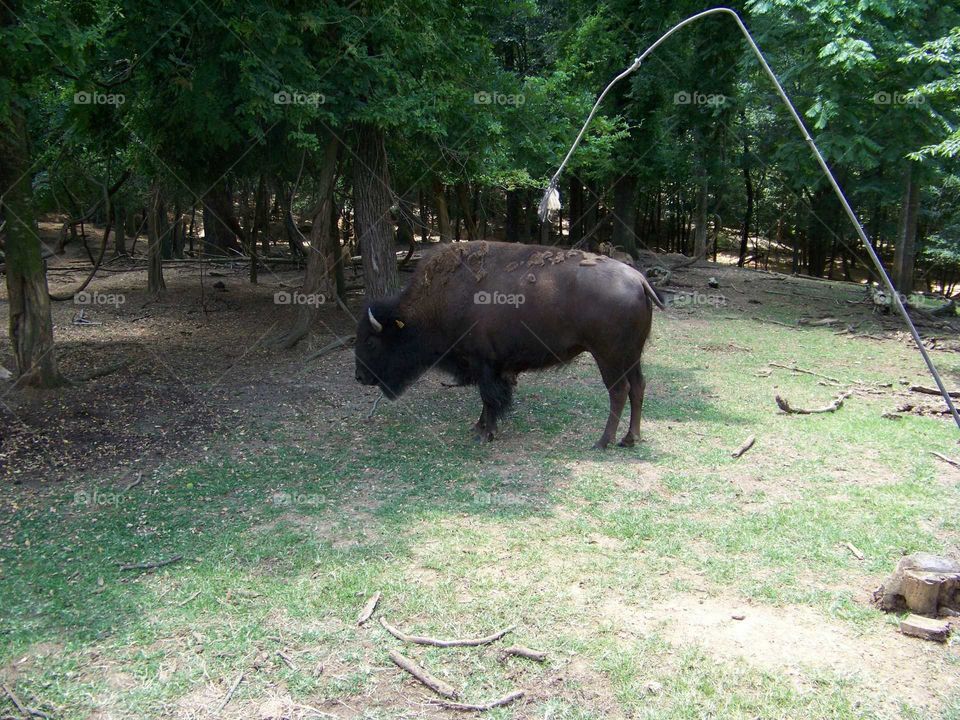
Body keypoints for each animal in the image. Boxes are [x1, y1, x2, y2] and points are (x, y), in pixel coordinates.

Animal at [354, 241, 663, 448]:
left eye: (371, 342)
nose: (360, 377)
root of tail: (639, 279)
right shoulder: (491, 368)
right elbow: (488, 399)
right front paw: (477, 427)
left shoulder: (484, 364)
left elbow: (489, 398)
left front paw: (485, 434)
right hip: (632, 356)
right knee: (638, 387)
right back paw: (630, 438)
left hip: (608, 357)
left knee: (619, 392)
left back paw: (603, 441)